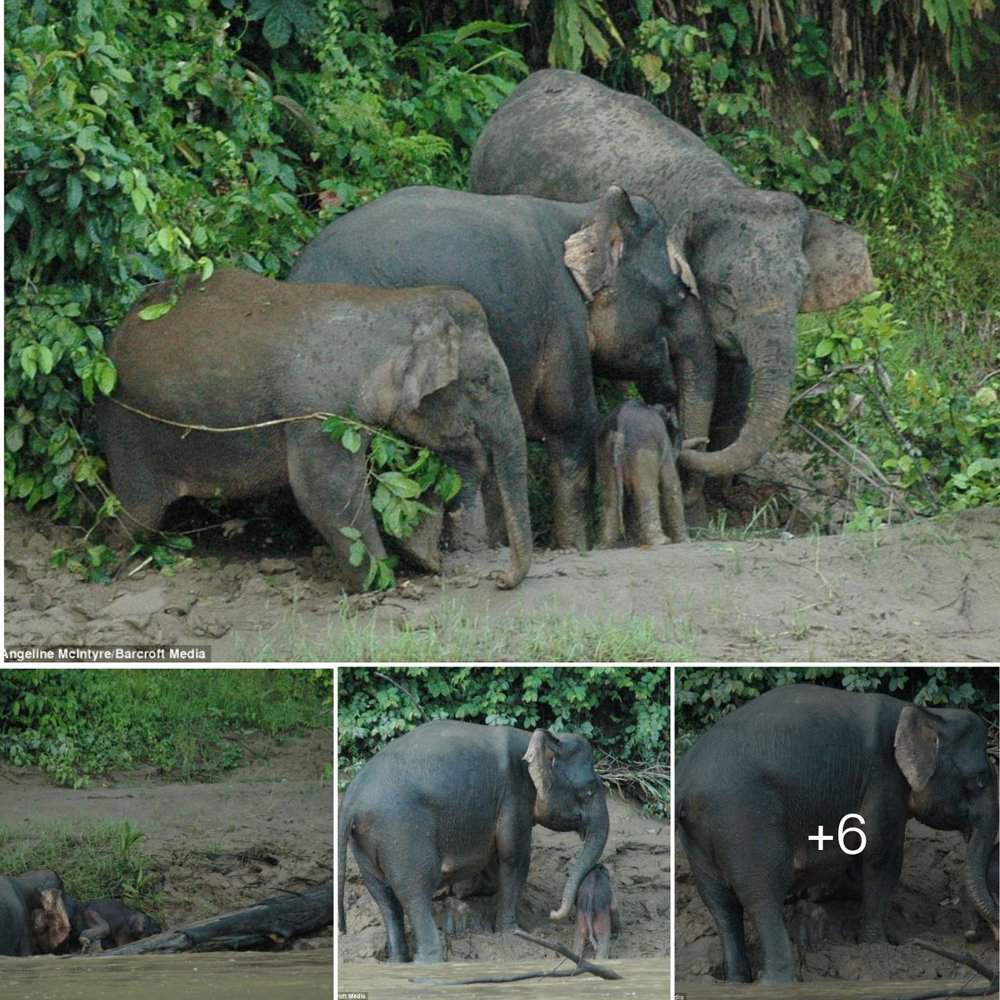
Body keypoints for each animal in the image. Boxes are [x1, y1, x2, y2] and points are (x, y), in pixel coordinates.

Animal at [96, 270, 532, 590]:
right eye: (482, 383)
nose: (500, 578)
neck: (392, 304)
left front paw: (421, 556)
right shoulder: (317, 414)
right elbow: (326, 493)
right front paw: (381, 583)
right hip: (129, 428)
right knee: (139, 513)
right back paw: (112, 562)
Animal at [338, 720, 609, 963]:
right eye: (588, 791)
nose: (554, 912)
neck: (534, 740)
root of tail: (351, 801)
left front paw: (467, 891)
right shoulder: (514, 798)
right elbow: (514, 857)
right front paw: (513, 932)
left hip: (365, 845)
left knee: (384, 896)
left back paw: (397, 961)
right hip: (402, 833)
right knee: (414, 891)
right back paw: (428, 961)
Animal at [470, 69, 875, 521]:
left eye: (802, 287)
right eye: (726, 291)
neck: (722, 192)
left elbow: (736, 385)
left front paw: (722, 503)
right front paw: (697, 509)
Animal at [596, 399, 691, 548]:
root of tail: (619, 430)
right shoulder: (663, 438)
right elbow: (671, 482)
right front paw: (686, 540)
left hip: (604, 449)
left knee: (610, 495)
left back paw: (603, 546)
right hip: (643, 447)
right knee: (646, 490)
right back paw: (661, 541)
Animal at [677, 684, 998, 983]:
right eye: (980, 780)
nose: (971, 936)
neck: (924, 712)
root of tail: (686, 790)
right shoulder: (882, 784)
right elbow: (882, 857)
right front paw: (877, 945)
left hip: (699, 839)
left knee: (720, 903)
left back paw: (736, 980)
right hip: (744, 820)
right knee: (762, 893)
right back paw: (775, 981)